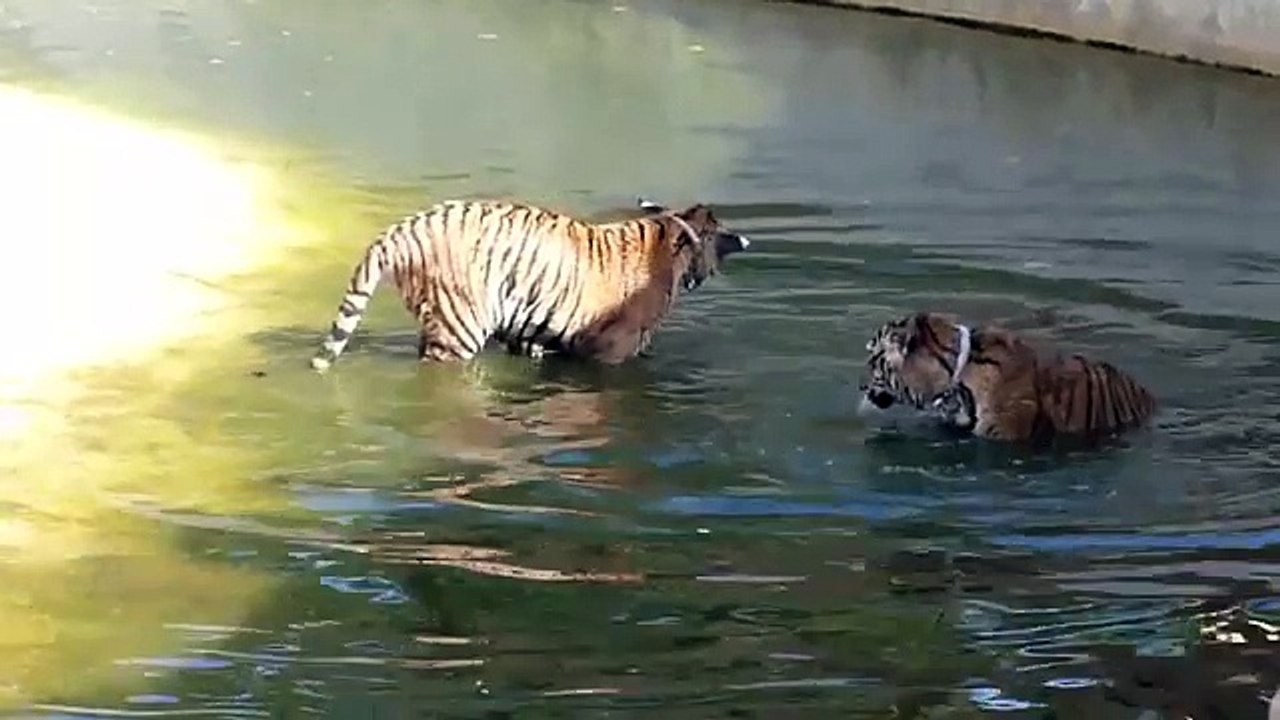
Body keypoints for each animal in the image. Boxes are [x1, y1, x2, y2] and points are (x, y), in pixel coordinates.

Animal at [309, 197, 750, 371]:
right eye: (718, 235)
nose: (742, 241)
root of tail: (402, 231)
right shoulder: (615, 347)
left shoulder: (532, 331)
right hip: (460, 330)